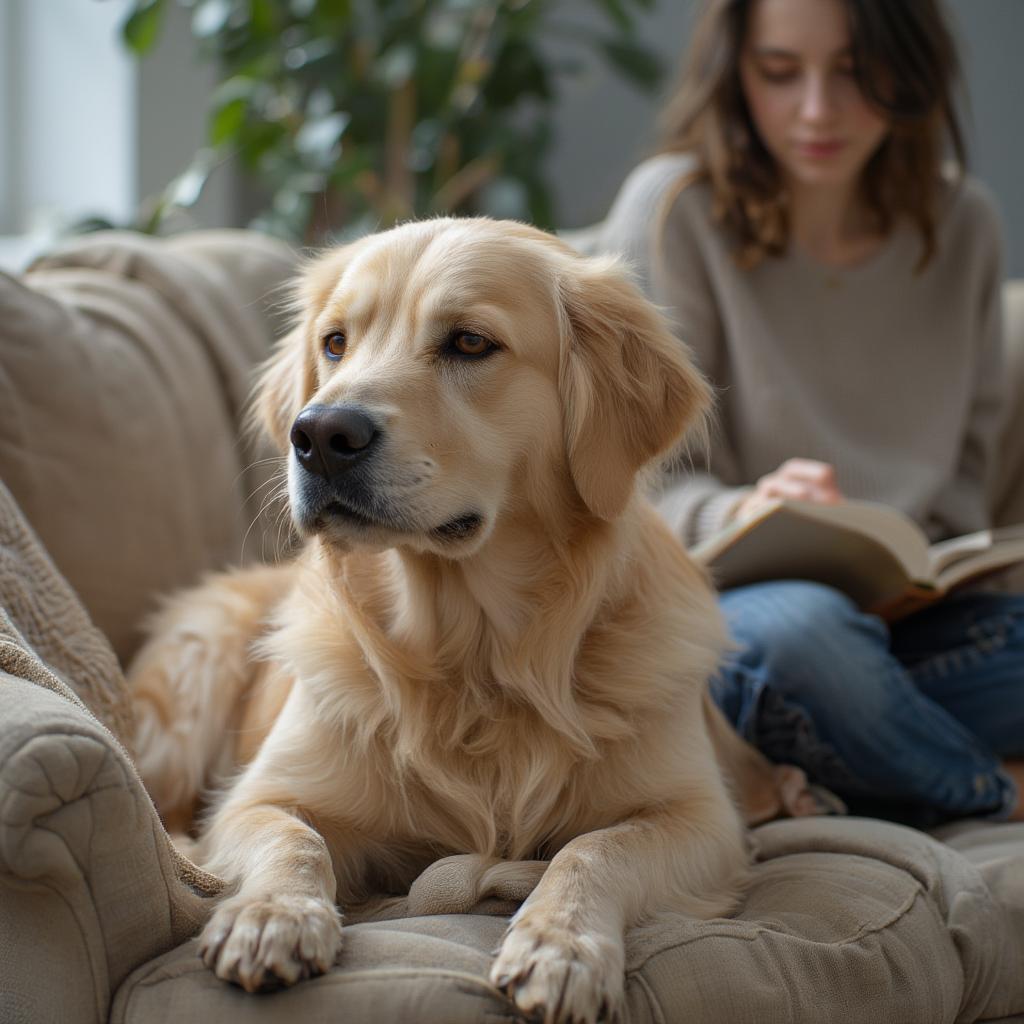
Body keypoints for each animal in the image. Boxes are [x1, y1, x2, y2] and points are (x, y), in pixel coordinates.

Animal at [130, 218, 815, 1024]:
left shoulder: (700, 819)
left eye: (468, 342)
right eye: (335, 342)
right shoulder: (260, 797)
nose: (319, 435)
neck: (474, 652)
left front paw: (561, 945)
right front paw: (272, 916)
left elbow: (594, 849)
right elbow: (292, 839)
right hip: (194, 682)